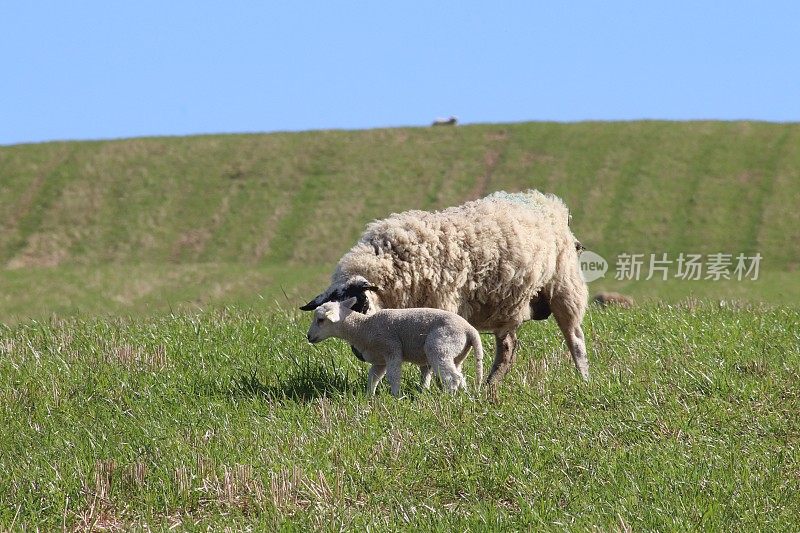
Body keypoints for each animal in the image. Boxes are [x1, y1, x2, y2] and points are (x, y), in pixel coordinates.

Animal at [304, 296, 482, 394]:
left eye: (320, 320)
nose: (308, 336)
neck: (363, 328)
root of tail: (469, 330)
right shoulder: (379, 360)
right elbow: (374, 377)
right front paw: (369, 396)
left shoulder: (391, 348)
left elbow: (393, 375)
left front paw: (396, 396)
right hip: (457, 353)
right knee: (460, 375)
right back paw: (463, 396)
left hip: (440, 345)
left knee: (452, 377)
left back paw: (448, 397)